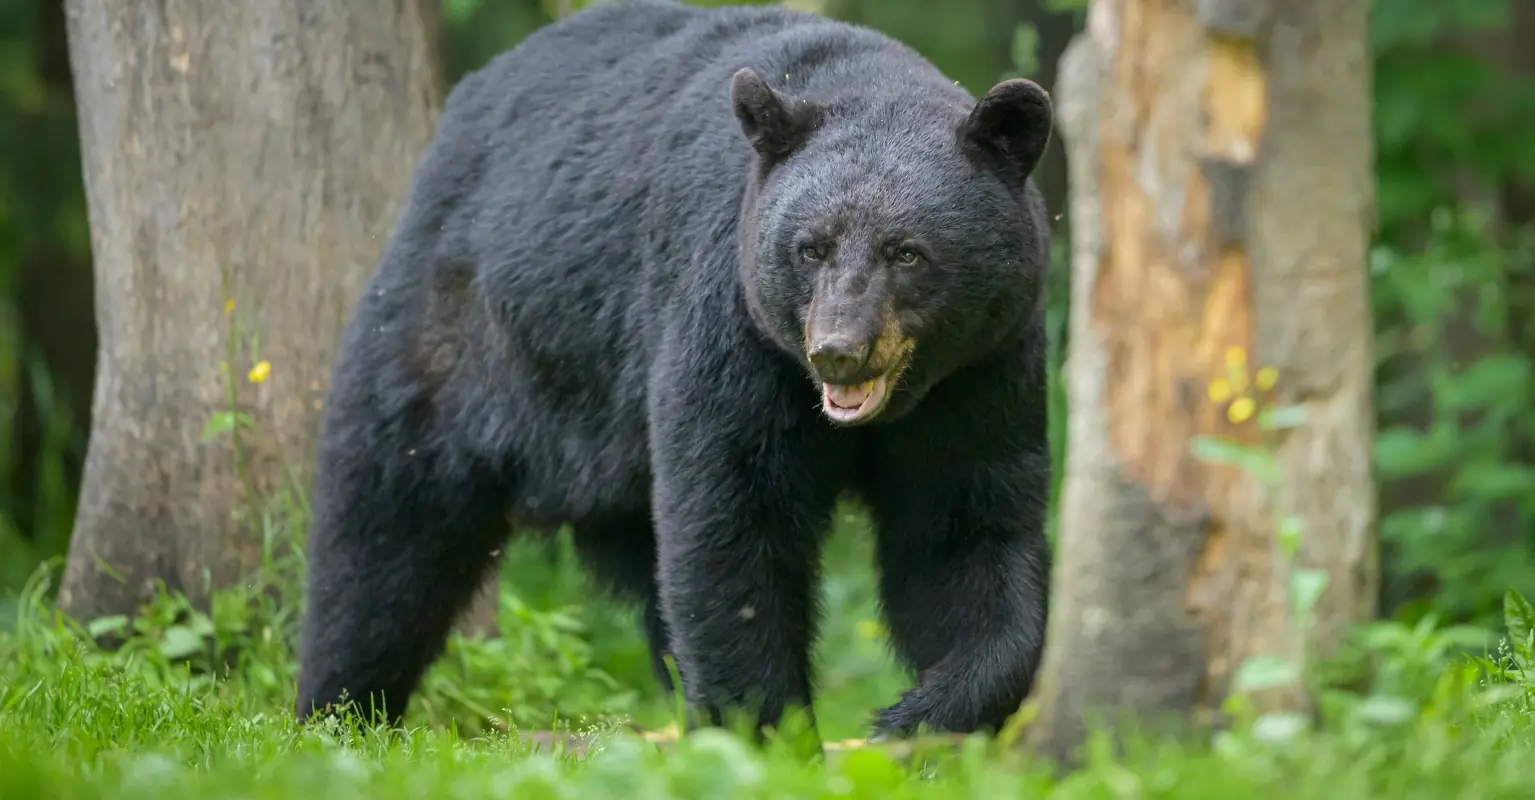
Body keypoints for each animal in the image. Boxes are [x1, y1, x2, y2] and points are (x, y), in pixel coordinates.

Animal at [294, 0, 1056, 742]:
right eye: (810, 247)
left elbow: (963, 529)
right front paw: (766, 731)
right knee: (385, 533)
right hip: (456, 337)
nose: (838, 349)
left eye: (907, 252)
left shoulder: (981, 371)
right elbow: (732, 519)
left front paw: (922, 715)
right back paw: (337, 711)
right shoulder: (731, 325)